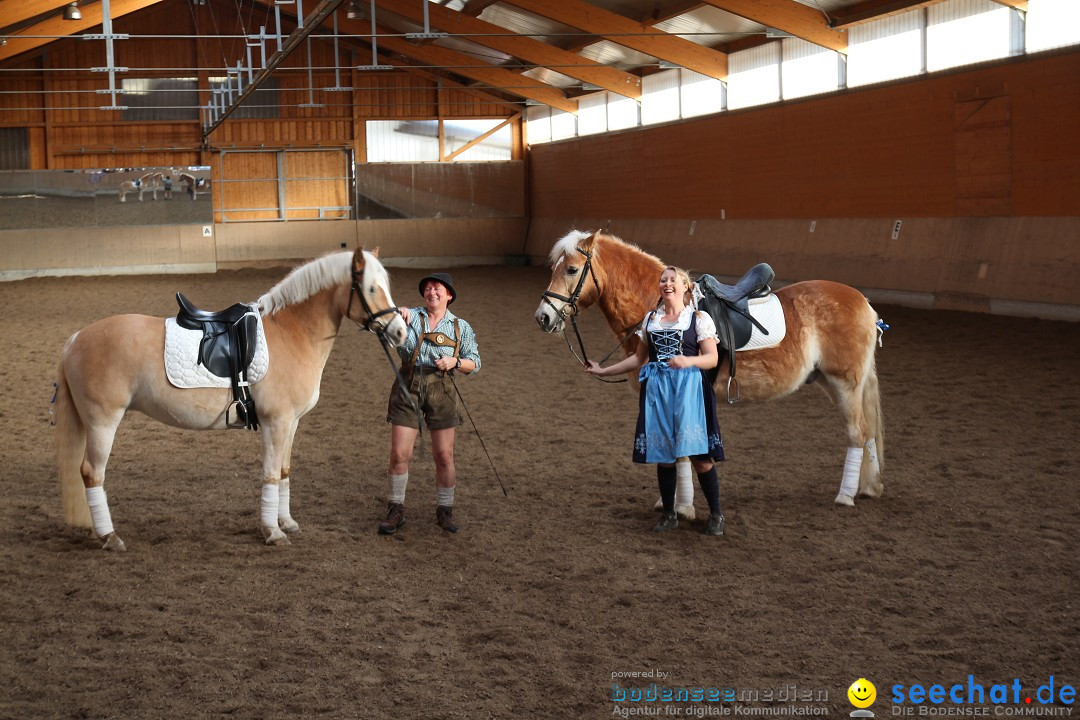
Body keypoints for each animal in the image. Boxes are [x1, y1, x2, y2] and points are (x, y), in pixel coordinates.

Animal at [51, 249, 406, 552]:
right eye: (371, 288)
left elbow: (284, 471)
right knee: (91, 473)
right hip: (103, 423)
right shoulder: (276, 423)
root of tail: (75, 340)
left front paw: (286, 522)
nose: (401, 332)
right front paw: (272, 532)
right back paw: (109, 537)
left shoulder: (291, 423)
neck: (293, 333)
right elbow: (270, 475)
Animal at [533, 227, 885, 515]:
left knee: (858, 432)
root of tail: (864, 303)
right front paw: (673, 501)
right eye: (553, 268)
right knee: (867, 431)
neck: (657, 305)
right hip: (830, 381)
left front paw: (682, 507)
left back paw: (846, 495)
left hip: (845, 382)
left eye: (572, 269)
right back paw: (868, 487)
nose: (543, 318)